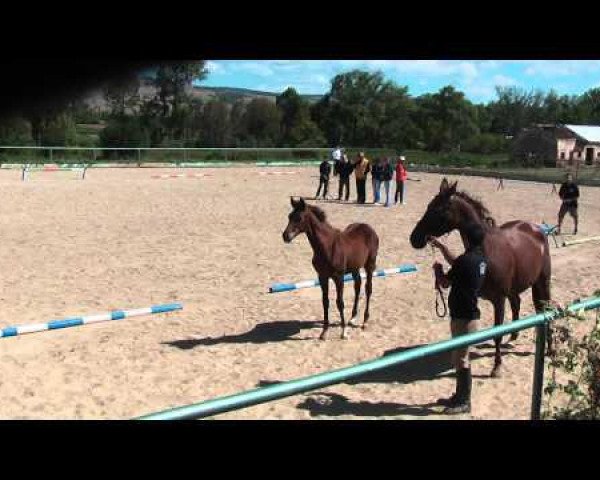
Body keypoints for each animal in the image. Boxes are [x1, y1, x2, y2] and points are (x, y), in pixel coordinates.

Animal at [282, 197, 380, 340]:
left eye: (299, 218)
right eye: (289, 216)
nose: (285, 236)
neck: (326, 246)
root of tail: (368, 227)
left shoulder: (338, 277)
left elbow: (340, 302)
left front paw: (344, 332)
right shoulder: (322, 276)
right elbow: (325, 301)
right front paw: (324, 332)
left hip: (370, 265)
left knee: (368, 289)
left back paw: (364, 322)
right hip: (355, 268)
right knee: (357, 286)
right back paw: (353, 318)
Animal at [410, 178, 552, 376]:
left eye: (438, 210)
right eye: (428, 206)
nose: (414, 238)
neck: (484, 249)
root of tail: (536, 229)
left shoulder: (499, 300)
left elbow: (497, 333)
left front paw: (497, 366)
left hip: (542, 282)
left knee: (546, 309)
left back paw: (549, 349)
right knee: (517, 303)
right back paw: (514, 334)